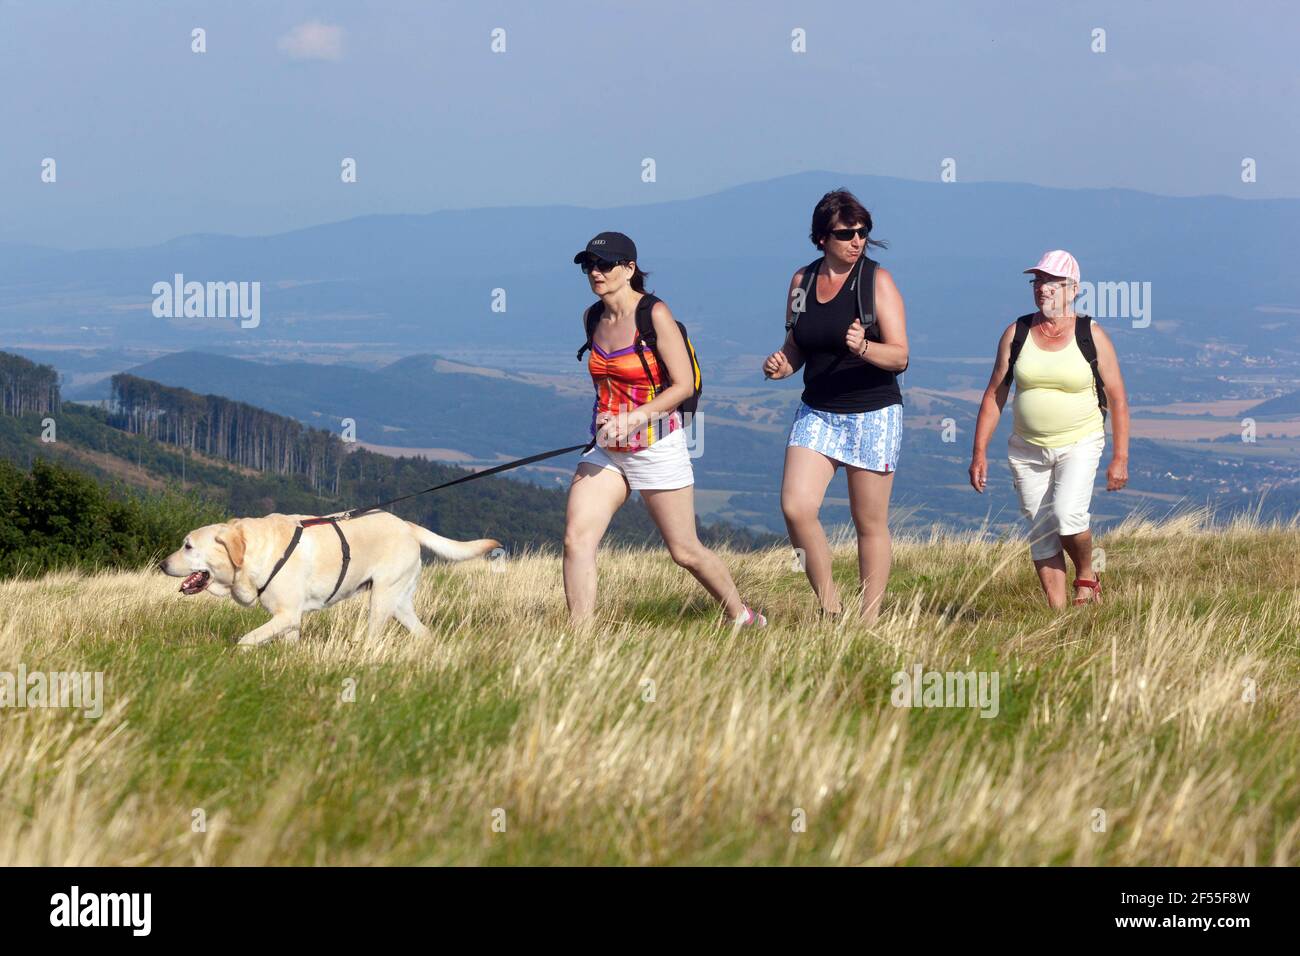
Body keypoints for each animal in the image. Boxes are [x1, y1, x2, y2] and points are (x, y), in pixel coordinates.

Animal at [158, 512, 501, 647]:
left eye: (188, 546)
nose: (161, 564)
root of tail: (406, 524)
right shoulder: (289, 620)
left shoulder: (288, 615)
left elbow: (246, 639)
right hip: (399, 603)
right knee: (423, 632)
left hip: (381, 600)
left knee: (374, 635)